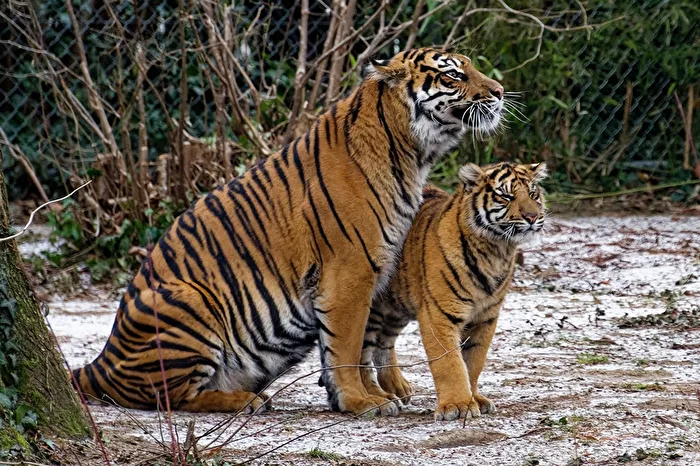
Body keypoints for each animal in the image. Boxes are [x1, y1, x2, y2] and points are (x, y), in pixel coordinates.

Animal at [71, 47, 505, 415]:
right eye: (453, 74)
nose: (500, 92)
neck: (412, 154)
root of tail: (102, 359)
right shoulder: (349, 273)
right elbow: (347, 346)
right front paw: (361, 402)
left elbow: (358, 344)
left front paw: (362, 397)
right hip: (191, 300)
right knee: (170, 397)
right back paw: (247, 401)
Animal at [359, 161, 547, 420]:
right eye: (506, 196)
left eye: (532, 194)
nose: (532, 217)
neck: (496, 251)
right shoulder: (439, 314)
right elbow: (450, 363)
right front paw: (456, 406)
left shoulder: (486, 318)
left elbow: (473, 362)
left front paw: (475, 399)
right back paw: (377, 399)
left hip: (398, 304)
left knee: (384, 342)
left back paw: (397, 386)